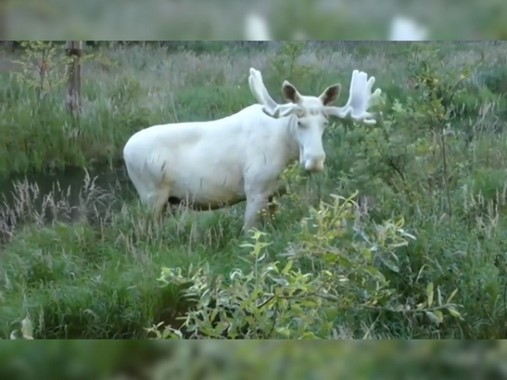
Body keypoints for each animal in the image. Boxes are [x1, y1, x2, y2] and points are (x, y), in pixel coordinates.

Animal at [125, 67, 382, 232]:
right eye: (300, 121)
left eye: (325, 123)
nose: (315, 160)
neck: (287, 152)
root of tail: (125, 150)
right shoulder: (254, 189)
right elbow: (249, 233)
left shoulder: (274, 194)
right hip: (150, 195)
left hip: (166, 201)